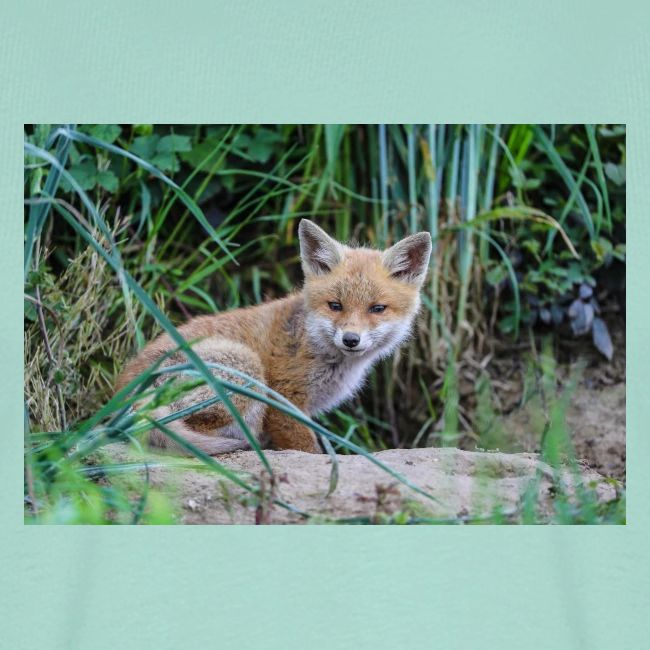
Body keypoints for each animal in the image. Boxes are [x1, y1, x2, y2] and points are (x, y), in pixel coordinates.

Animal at [116, 219, 432, 455]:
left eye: (377, 309)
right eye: (335, 305)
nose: (351, 339)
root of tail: (124, 395)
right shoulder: (283, 401)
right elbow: (308, 449)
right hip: (246, 368)